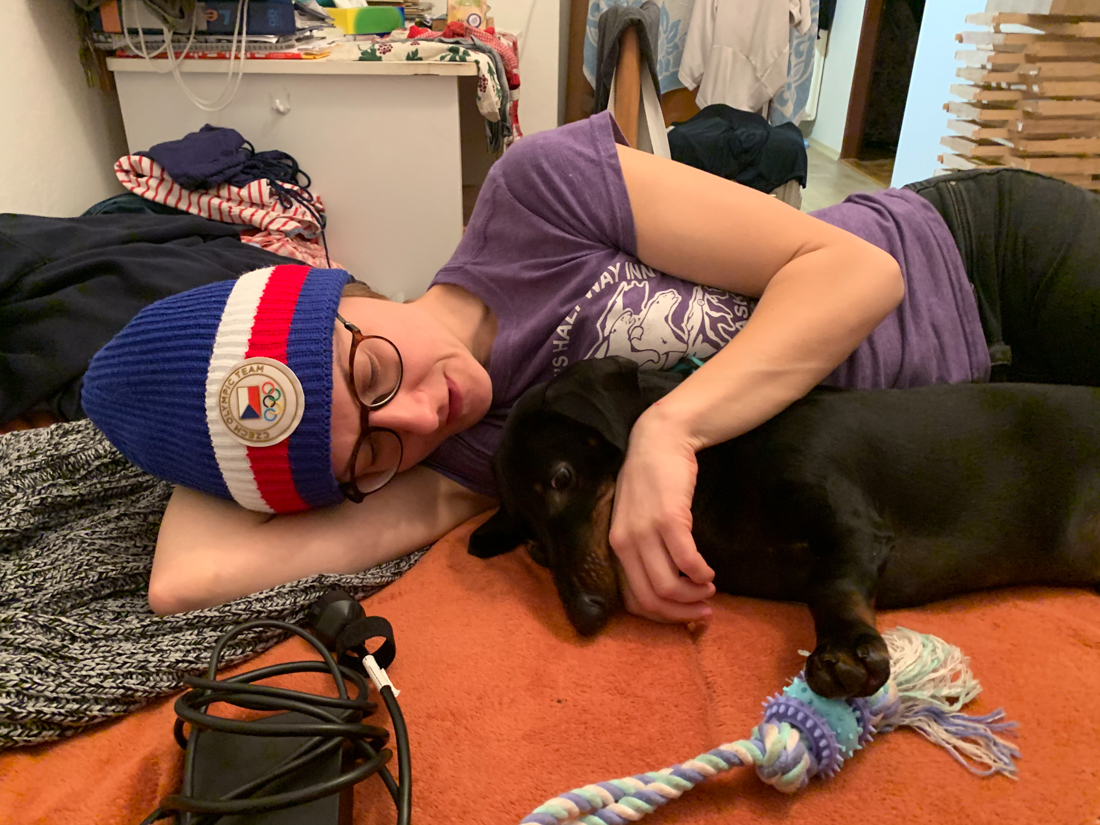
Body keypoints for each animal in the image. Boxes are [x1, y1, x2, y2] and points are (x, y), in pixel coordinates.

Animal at [468, 356, 1100, 700]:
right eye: (534, 547)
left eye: (562, 477)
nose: (584, 617)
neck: (713, 469)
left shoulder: (851, 525)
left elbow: (831, 584)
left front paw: (845, 650)